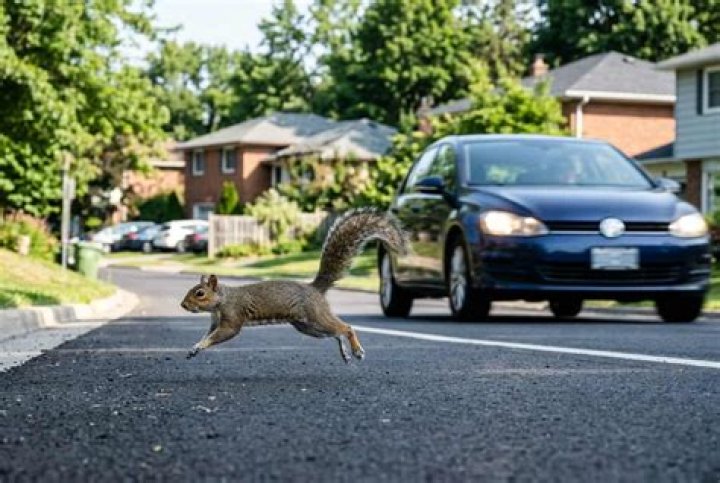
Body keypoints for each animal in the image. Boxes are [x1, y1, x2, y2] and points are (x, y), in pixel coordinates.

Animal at [180, 209, 407, 362]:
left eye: (200, 293)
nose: (183, 305)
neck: (221, 300)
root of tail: (315, 289)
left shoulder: (232, 318)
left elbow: (223, 334)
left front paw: (201, 345)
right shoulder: (214, 323)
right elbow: (207, 335)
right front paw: (194, 348)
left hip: (316, 316)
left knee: (345, 328)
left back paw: (356, 349)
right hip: (308, 327)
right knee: (335, 334)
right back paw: (344, 351)